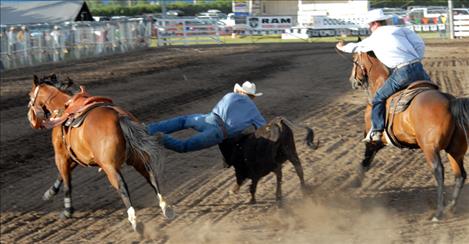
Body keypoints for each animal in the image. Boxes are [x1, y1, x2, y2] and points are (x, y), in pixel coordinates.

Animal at [27, 74, 174, 233]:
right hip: (138, 159)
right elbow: (62, 176)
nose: (31, 118)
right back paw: (165, 207)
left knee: (122, 187)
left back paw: (134, 221)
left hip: (110, 167)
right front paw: (49, 193)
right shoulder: (78, 157)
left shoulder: (61, 156)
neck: (62, 107)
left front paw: (67, 210)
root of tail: (119, 117)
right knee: (151, 177)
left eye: (30, 95)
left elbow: (67, 181)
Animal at [348, 51, 468, 221]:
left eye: (354, 60)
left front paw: (354, 182)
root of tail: (451, 102)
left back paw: (438, 212)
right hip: (455, 151)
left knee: (439, 172)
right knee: (460, 176)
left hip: (430, 149)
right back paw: (451, 207)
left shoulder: (373, 141)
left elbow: (366, 161)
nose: (352, 81)